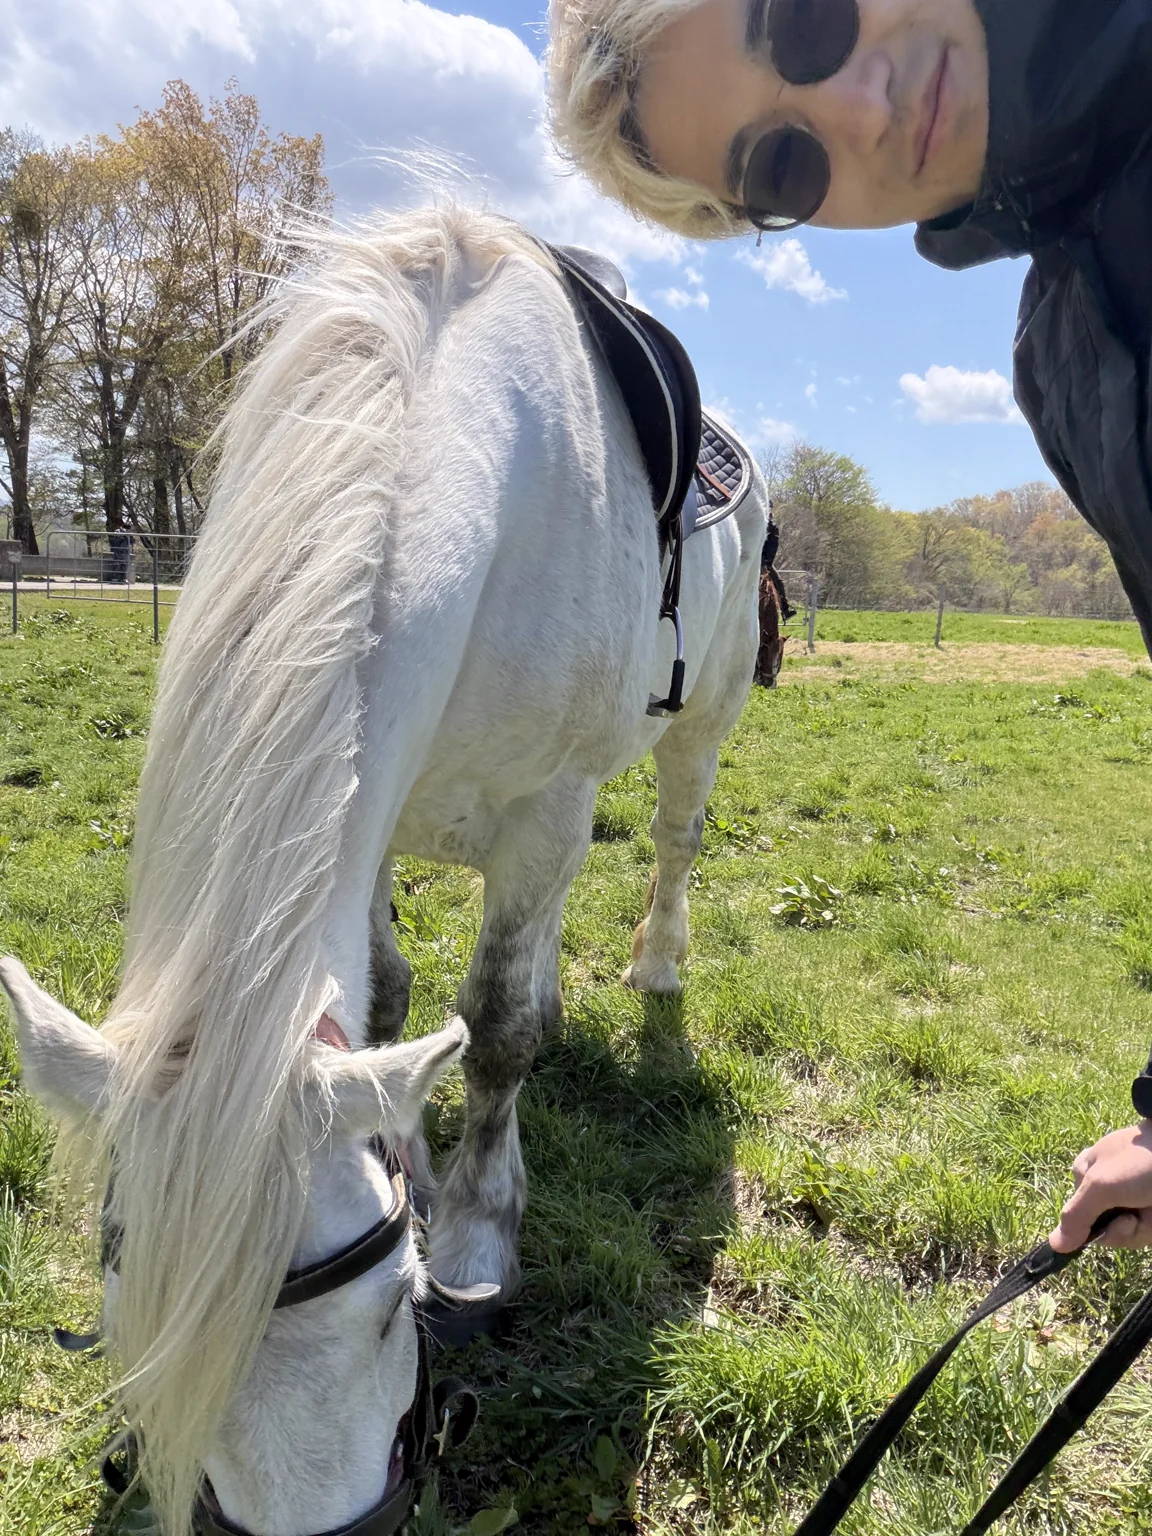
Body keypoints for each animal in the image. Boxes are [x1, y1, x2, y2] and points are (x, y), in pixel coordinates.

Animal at [0, 205, 766, 1536]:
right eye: (128, 1319)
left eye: (391, 1303)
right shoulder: (363, 810)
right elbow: (399, 1001)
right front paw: (415, 1129)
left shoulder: (546, 811)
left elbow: (500, 1025)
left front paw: (477, 1233)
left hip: (699, 722)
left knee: (672, 841)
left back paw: (658, 966)